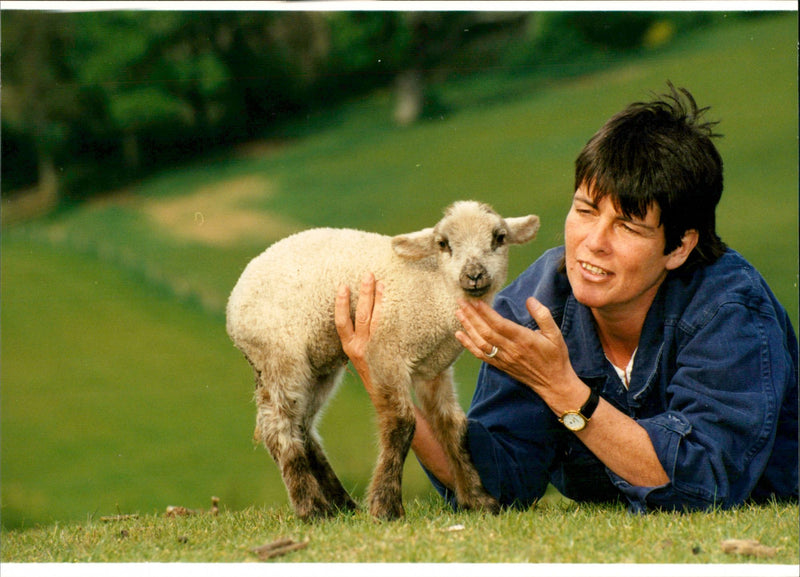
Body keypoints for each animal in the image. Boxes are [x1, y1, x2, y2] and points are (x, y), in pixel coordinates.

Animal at [225, 200, 536, 520]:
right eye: (443, 243)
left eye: (499, 238)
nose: (474, 274)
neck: (436, 292)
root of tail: (234, 304)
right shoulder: (385, 353)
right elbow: (401, 423)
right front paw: (386, 505)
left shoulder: (435, 370)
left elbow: (454, 426)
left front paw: (478, 499)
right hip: (280, 354)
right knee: (279, 427)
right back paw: (311, 507)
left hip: (316, 366)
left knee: (302, 426)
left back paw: (340, 504)